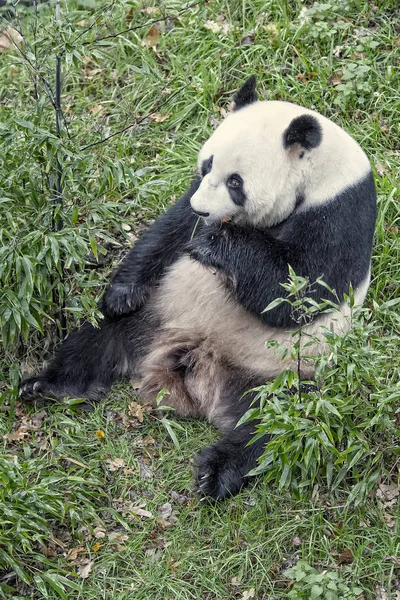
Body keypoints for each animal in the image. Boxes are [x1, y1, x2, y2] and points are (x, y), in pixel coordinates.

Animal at [18, 78, 376, 502]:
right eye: (207, 166)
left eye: (236, 182)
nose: (203, 210)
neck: (320, 174)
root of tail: (195, 366)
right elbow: (168, 230)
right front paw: (125, 289)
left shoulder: (342, 214)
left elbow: (299, 291)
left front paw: (214, 244)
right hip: (160, 309)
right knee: (95, 335)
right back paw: (47, 384)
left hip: (283, 370)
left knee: (273, 424)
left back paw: (216, 472)